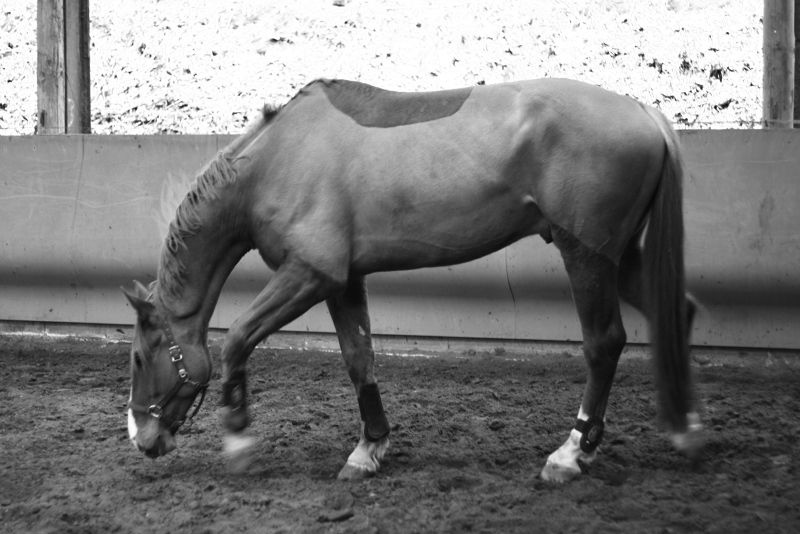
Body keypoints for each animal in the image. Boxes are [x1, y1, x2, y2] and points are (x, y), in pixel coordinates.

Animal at [124, 78, 704, 483]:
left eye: (139, 358)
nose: (140, 436)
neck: (276, 161)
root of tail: (643, 111)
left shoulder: (310, 273)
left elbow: (238, 339)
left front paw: (239, 443)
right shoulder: (342, 281)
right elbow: (358, 359)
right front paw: (369, 448)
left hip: (586, 255)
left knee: (604, 344)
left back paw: (571, 453)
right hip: (617, 257)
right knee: (678, 312)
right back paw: (686, 426)